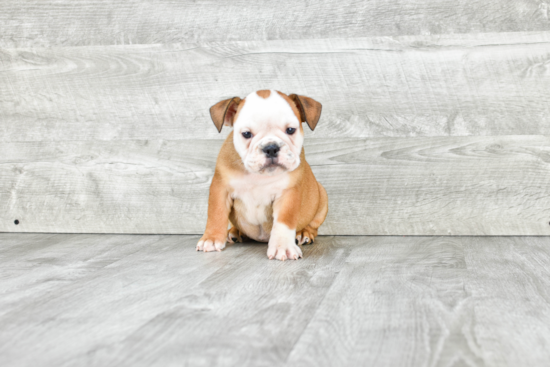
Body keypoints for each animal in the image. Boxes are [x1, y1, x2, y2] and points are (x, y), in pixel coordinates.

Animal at [197, 90, 328, 262]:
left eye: (290, 130)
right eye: (246, 134)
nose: (271, 148)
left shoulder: (287, 194)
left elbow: (284, 221)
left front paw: (283, 246)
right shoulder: (221, 188)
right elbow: (216, 213)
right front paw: (211, 239)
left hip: (322, 196)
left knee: (313, 225)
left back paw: (303, 233)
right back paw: (235, 232)